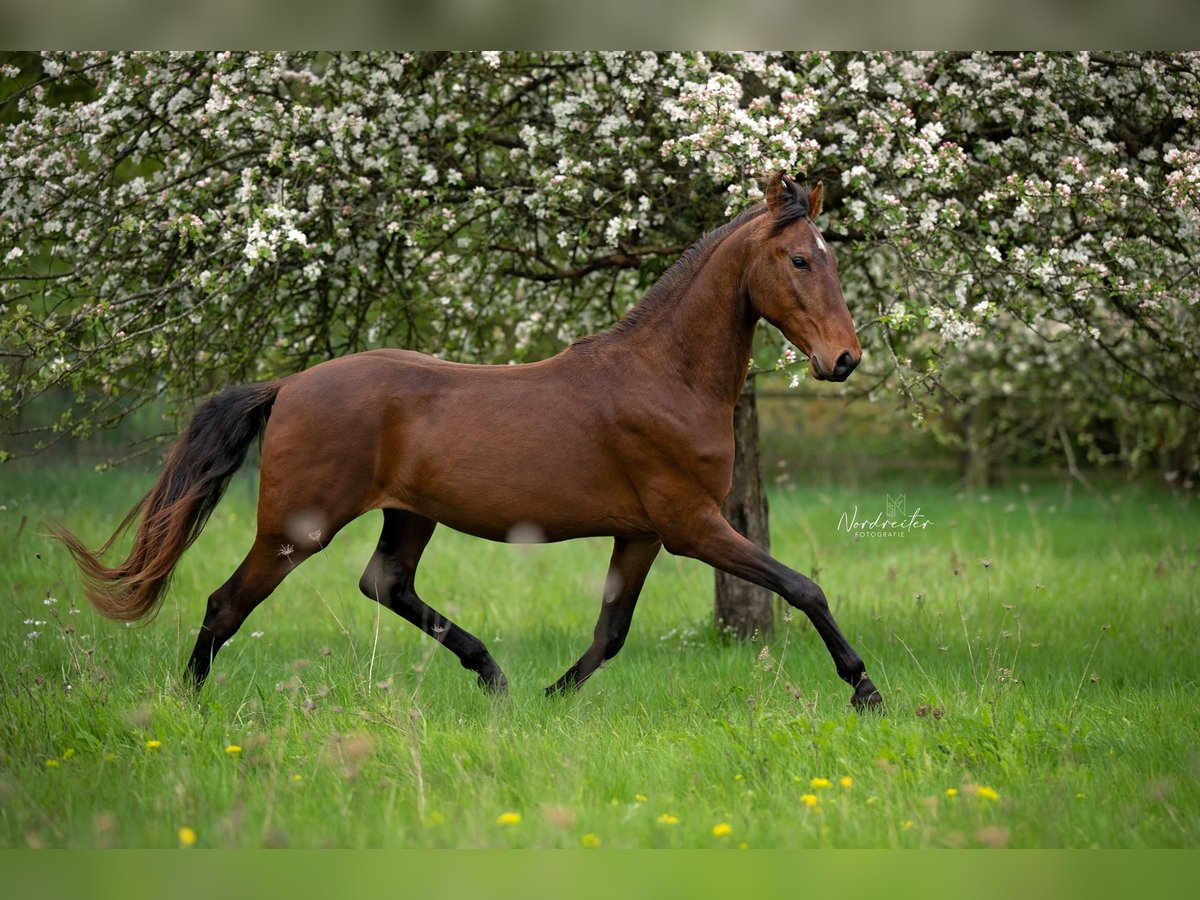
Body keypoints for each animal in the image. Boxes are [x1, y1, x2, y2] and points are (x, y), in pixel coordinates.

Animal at [49, 174, 883, 710]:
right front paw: (864, 687)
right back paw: (186, 705)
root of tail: (288, 386)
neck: (662, 377)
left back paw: (493, 676)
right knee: (227, 603)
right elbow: (802, 587)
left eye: (835, 257)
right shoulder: (692, 525)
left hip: (408, 515)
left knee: (384, 584)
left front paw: (552, 697)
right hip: (297, 527)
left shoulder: (644, 533)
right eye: (800, 258)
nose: (843, 359)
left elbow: (611, 630)